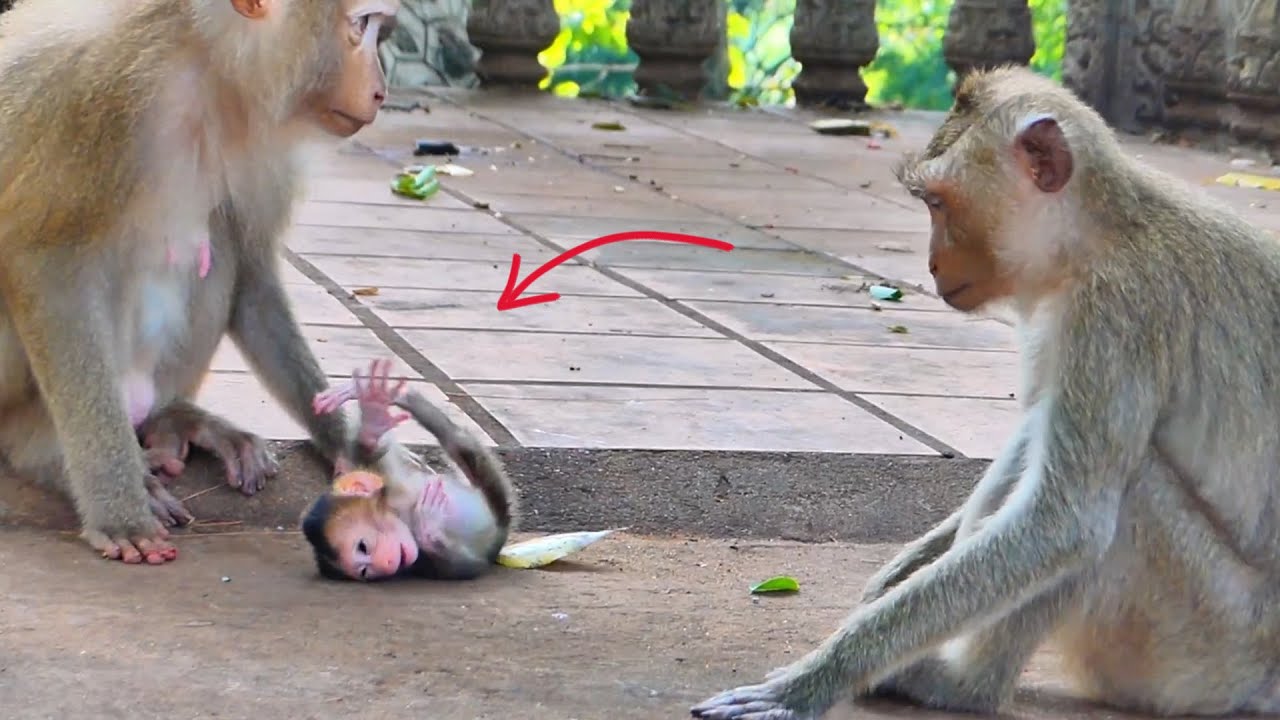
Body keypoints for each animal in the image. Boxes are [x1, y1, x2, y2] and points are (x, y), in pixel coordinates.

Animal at [0, 0, 400, 565]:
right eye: (361, 25)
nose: (381, 89)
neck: (206, 68)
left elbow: (253, 274)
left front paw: (351, 442)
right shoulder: (86, 95)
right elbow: (44, 263)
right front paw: (117, 506)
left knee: (219, 240)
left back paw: (175, 419)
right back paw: (40, 449)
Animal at [299, 358, 517, 582]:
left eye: (363, 546)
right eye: (365, 571)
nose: (385, 564)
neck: (401, 514)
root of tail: (503, 527)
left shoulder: (388, 478)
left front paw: (372, 422)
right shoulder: (421, 561)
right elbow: (465, 566)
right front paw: (428, 528)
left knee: (459, 443)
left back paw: (399, 396)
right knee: (461, 443)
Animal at [692, 64, 1280, 720]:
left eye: (938, 203)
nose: (931, 264)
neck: (1103, 233)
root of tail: (1265, 680)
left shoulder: (1113, 315)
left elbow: (1062, 525)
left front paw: (815, 678)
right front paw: (891, 581)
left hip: (1206, 647)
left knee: (1121, 500)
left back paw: (962, 687)